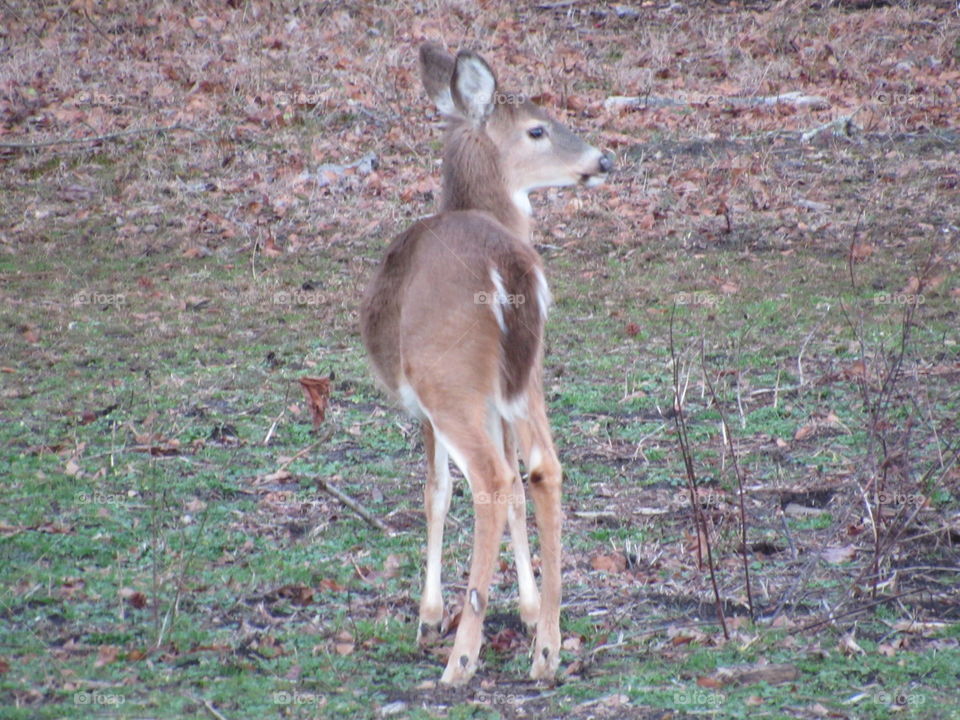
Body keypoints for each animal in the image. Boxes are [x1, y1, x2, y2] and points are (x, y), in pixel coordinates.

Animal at [360, 42, 611, 686]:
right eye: (538, 128)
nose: (603, 158)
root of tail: (506, 264)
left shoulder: (424, 406)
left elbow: (435, 491)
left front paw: (427, 619)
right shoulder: (501, 394)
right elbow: (521, 490)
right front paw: (527, 610)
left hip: (447, 376)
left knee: (491, 481)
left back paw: (461, 658)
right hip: (526, 374)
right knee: (543, 469)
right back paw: (547, 651)